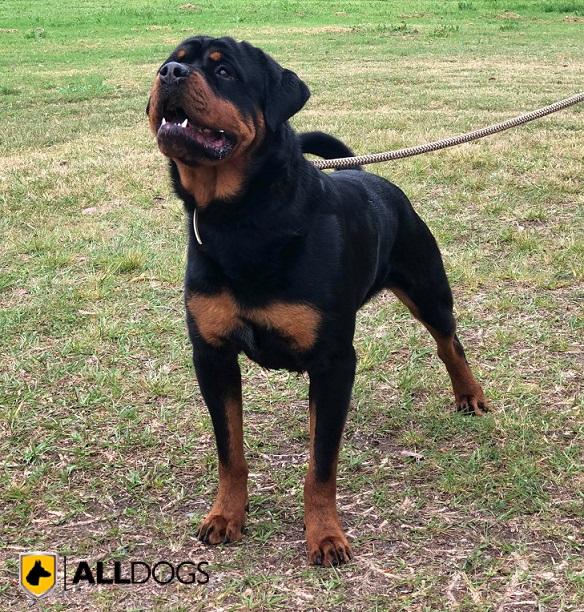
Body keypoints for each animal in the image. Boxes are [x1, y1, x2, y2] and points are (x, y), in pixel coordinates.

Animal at [147, 35, 488, 568]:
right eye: (172, 59)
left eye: (224, 72)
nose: (170, 73)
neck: (242, 219)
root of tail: (374, 179)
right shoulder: (212, 356)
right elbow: (231, 451)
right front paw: (226, 514)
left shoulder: (333, 362)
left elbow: (321, 465)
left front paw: (325, 534)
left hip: (428, 289)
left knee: (449, 343)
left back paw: (469, 394)